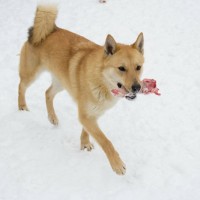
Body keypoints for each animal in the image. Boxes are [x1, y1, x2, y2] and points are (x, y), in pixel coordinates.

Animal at [18, 5, 144, 175]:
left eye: (138, 67)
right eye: (121, 68)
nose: (137, 87)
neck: (101, 80)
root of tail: (50, 29)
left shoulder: (91, 114)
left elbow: (86, 131)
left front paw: (84, 144)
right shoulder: (85, 115)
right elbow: (106, 141)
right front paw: (117, 164)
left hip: (61, 82)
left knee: (47, 93)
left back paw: (52, 117)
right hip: (31, 74)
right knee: (21, 86)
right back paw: (22, 106)